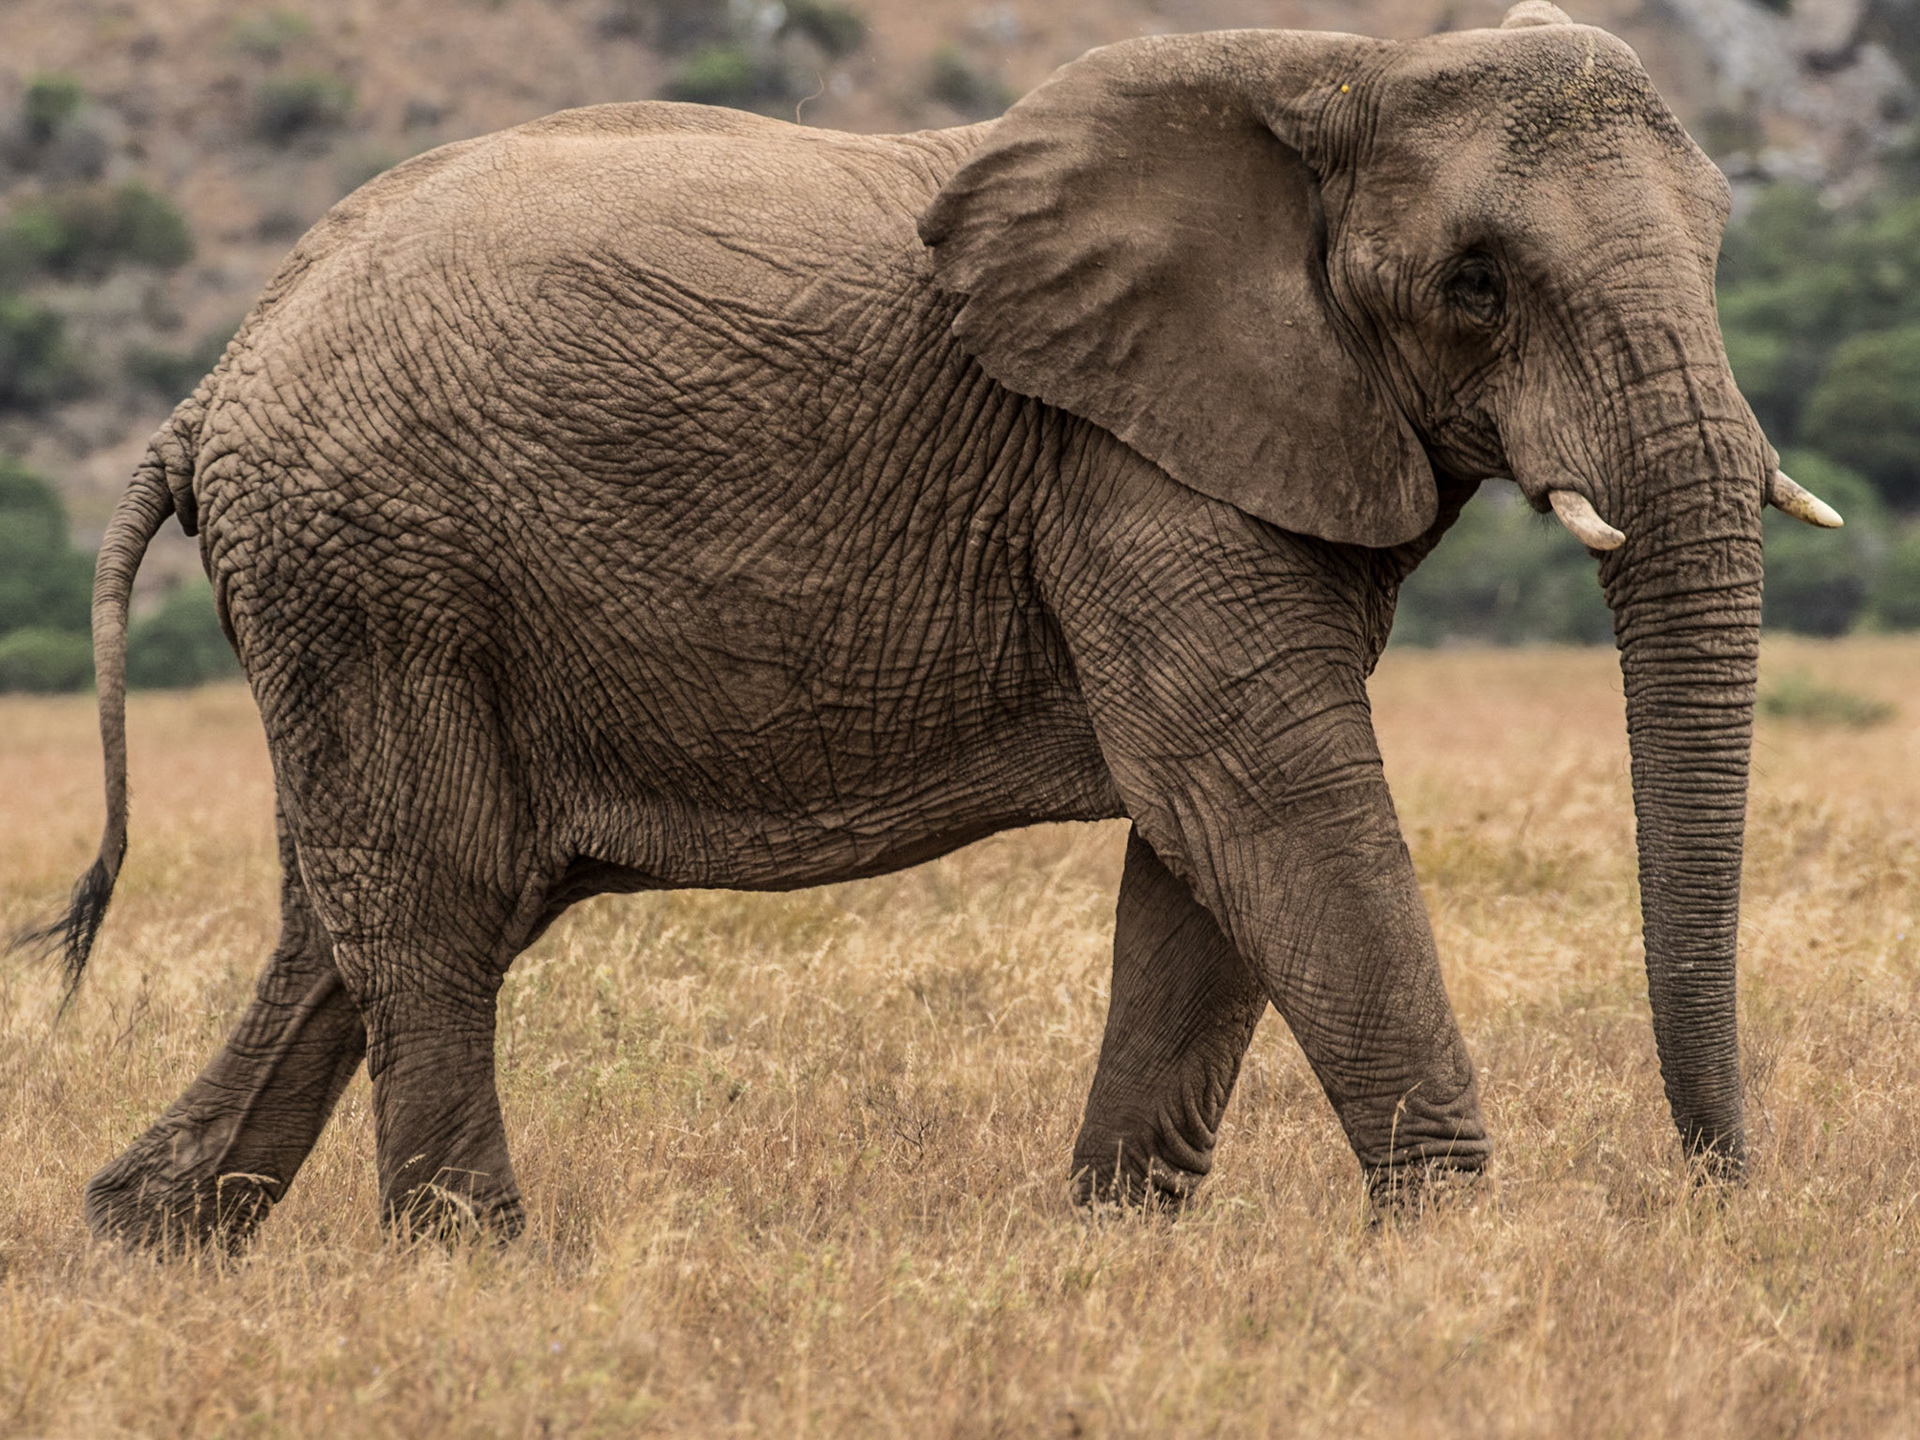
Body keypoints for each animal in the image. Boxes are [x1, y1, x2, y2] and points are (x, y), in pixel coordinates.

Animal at [29, 1, 1844, 1249]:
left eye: (1725, 242)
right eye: (1477, 283)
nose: (1718, 1194)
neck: (1346, 64)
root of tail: (207, 392)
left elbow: (1203, 854)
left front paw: (1113, 1250)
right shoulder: (1128, 459)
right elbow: (1262, 792)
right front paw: (1455, 1251)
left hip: (359, 590)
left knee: (365, 914)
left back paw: (146, 1241)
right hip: (378, 568)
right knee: (432, 901)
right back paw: (470, 1270)